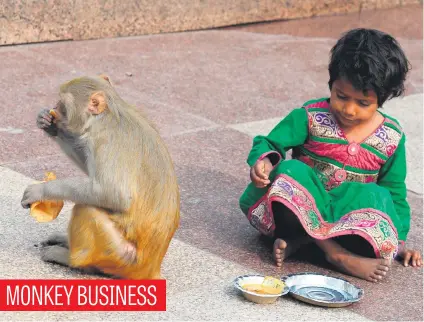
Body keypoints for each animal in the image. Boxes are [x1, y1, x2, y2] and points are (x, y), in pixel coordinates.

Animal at [20, 75, 180, 280]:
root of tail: (151, 269)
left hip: (122, 258)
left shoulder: (105, 140)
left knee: (86, 208)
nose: (54, 107)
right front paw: (50, 125)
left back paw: (69, 259)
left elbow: (112, 193)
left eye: (62, 103)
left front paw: (41, 190)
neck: (106, 116)